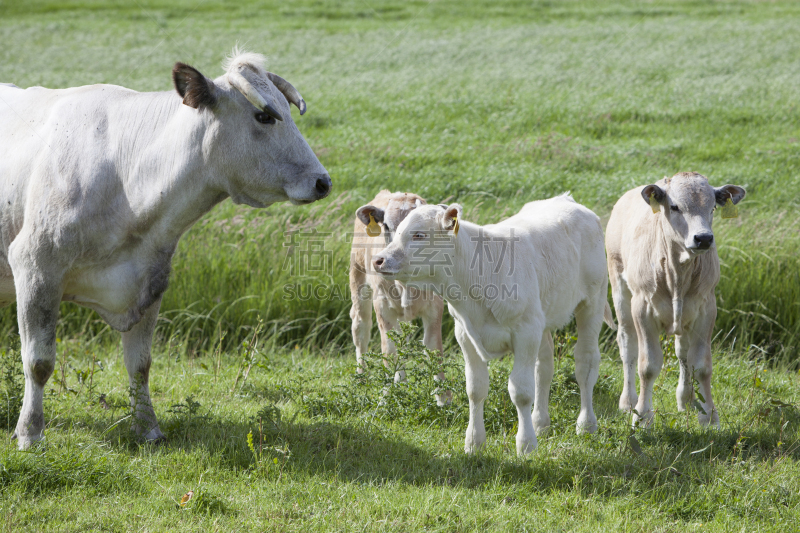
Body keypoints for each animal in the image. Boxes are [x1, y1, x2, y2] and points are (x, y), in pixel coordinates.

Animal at [0, 51, 332, 448]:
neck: (128, 182)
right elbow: (39, 362)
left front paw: (148, 428)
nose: (323, 182)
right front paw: (30, 432)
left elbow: (140, 365)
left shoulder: (150, 280)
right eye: (264, 116)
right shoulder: (36, 267)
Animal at [350, 190, 450, 404]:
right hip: (358, 277)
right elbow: (389, 349)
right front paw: (387, 396)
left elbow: (433, 347)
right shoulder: (382, 306)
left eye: (419, 233)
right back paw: (362, 376)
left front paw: (443, 399)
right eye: (387, 226)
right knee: (360, 327)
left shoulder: (435, 306)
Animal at [372, 195, 616, 454]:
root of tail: (568, 200)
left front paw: (526, 444)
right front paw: (474, 442)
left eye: (419, 234)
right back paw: (540, 423)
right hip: (543, 318)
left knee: (585, 363)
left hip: (592, 302)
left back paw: (586, 425)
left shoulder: (526, 332)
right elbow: (475, 389)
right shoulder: (466, 334)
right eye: (394, 229)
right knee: (544, 368)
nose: (378, 260)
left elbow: (521, 391)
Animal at [608, 172, 748, 426]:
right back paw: (628, 401)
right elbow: (648, 366)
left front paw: (709, 415)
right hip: (620, 290)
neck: (678, 272)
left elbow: (701, 365)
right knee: (627, 345)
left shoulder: (706, 309)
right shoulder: (642, 308)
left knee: (682, 352)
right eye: (674, 207)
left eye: (713, 207)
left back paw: (686, 399)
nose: (703, 238)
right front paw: (642, 416)